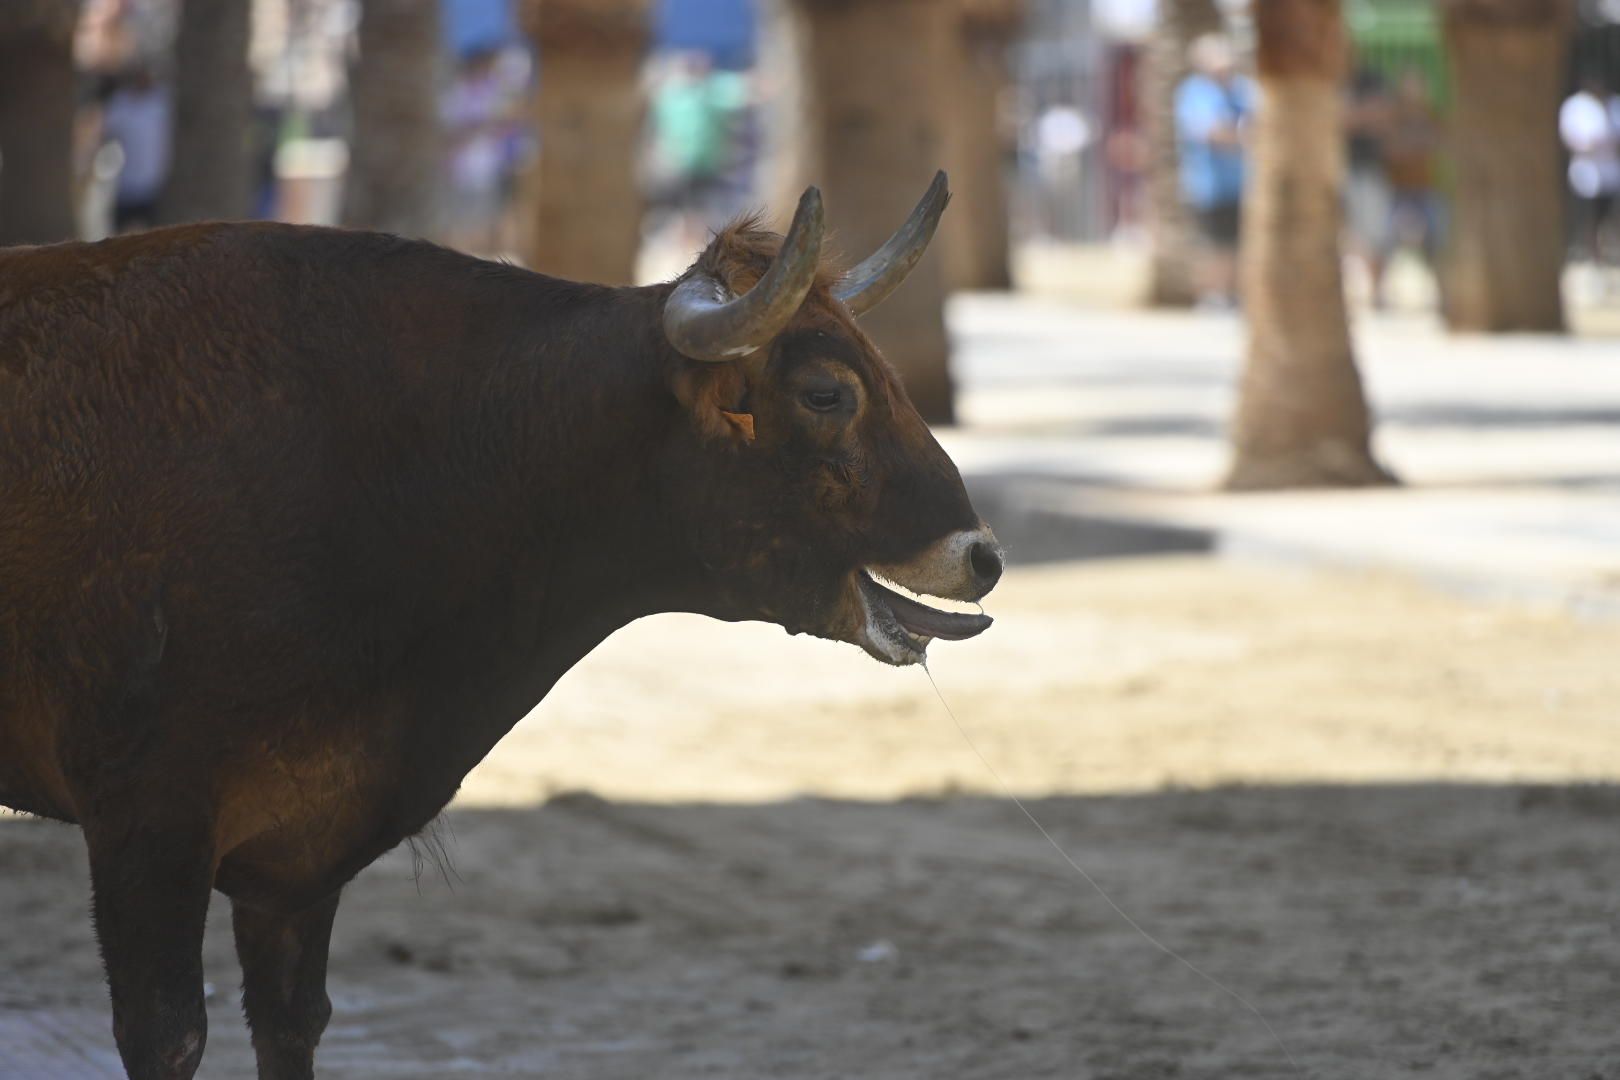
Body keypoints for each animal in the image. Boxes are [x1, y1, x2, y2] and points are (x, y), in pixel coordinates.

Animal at [0, 173, 997, 1075]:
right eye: (827, 394)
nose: (982, 553)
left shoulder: (297, 862)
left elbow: (291, 1024)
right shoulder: (146, 826)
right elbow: (167, 1035)